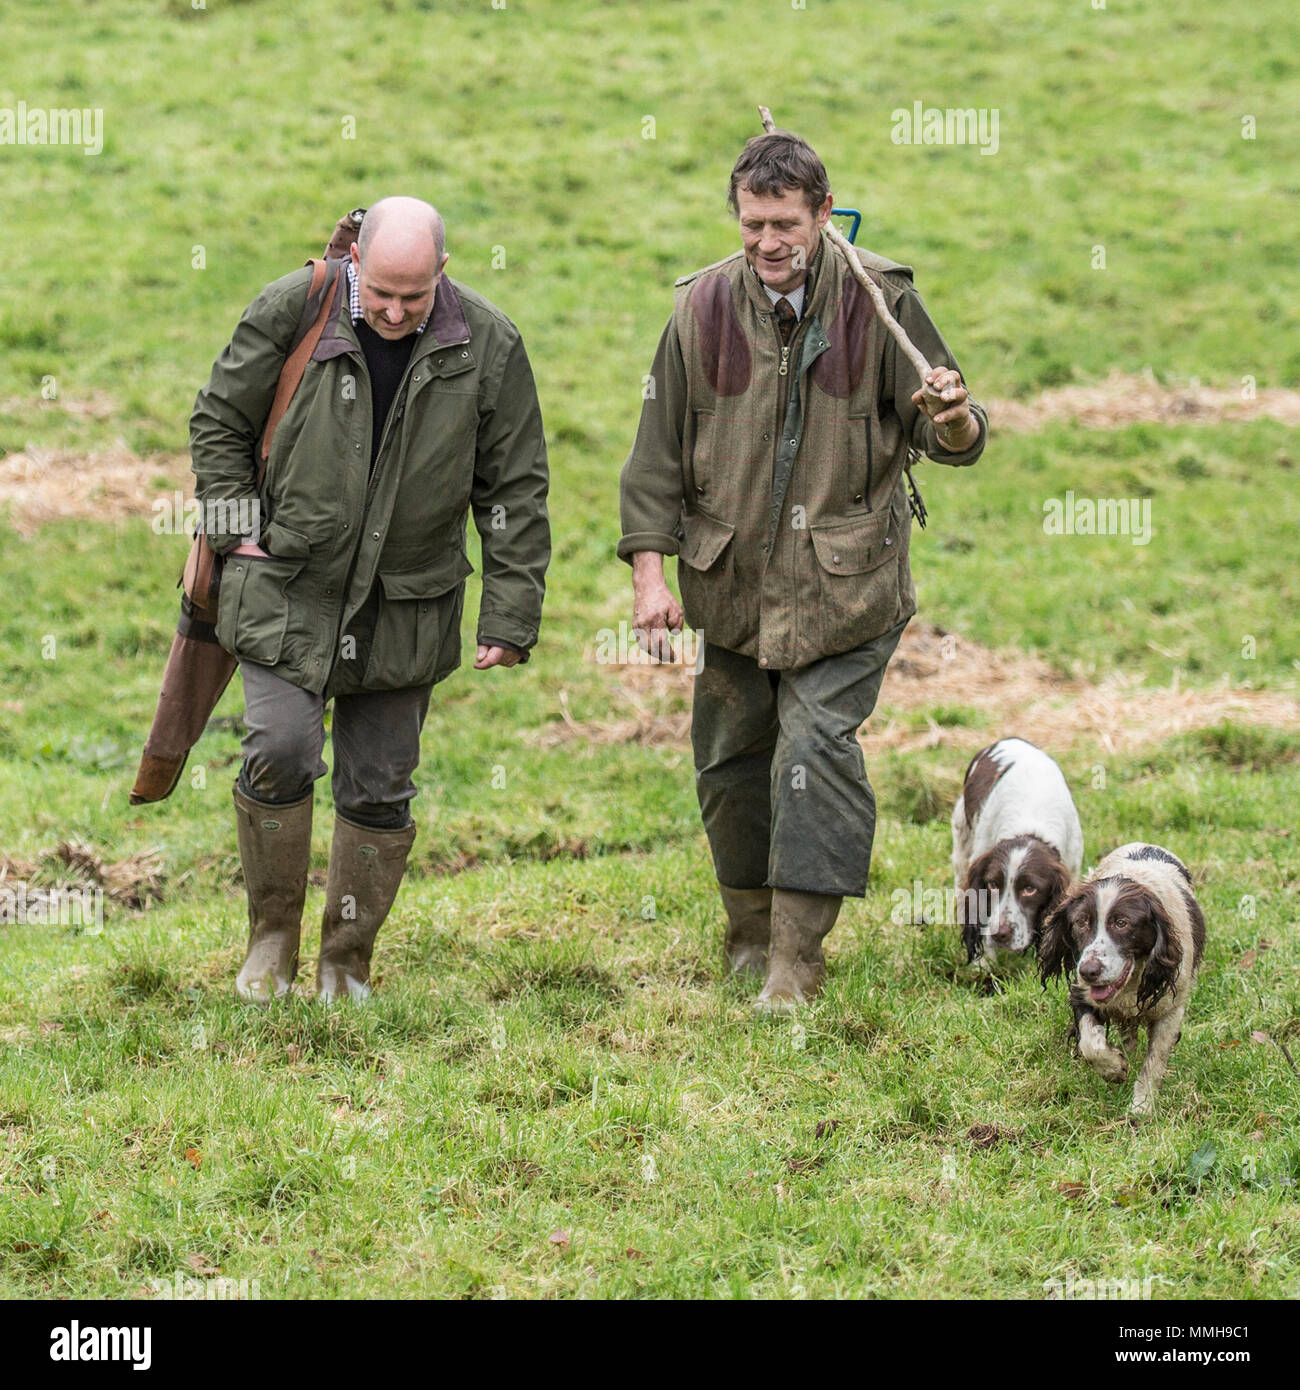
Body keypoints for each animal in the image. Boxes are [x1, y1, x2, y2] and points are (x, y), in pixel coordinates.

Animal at [1034, 834, 1212, 1117]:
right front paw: (1115, 1068)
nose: (1089, 971)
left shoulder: (1171, 1009)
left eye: (1122, 923)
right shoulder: (1082, 993)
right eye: (1081, 922)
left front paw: (1142, 1106)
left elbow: (1154, 1061)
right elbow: (1091, 1044)